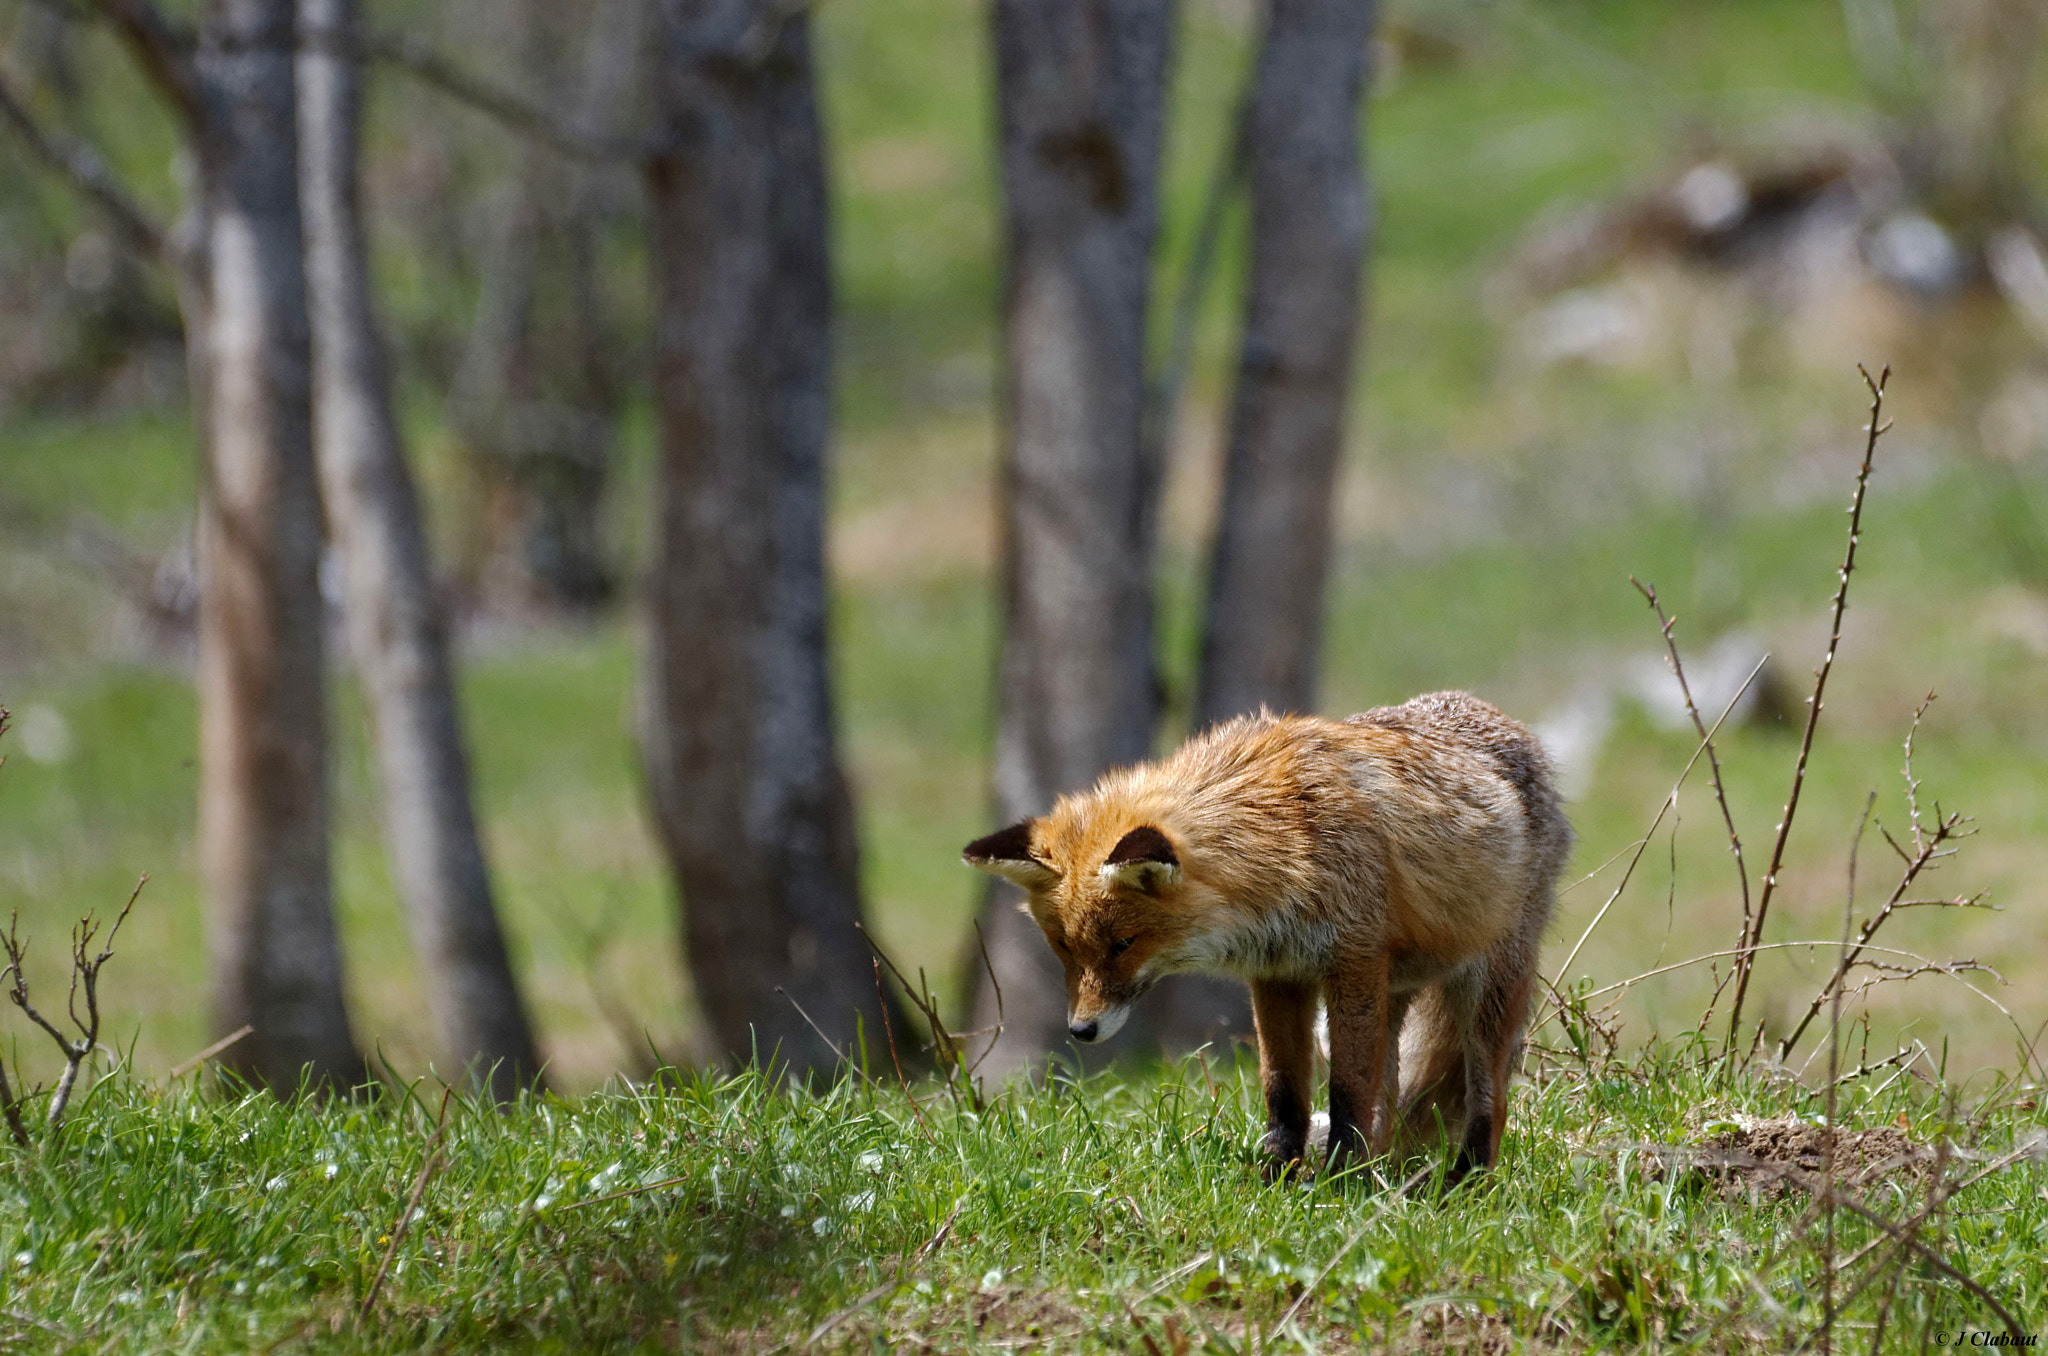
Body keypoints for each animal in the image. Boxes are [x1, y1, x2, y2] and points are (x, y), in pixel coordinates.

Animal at [966, 696, 1572, 1188]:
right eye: (1065, 948)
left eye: (1123, 944)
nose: (1081, 1031)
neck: (1281, 843)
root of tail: (1507, 722)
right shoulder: (1279, 974)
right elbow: (1284, 1093)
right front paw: (1277, 1176)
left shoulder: (1352, 964)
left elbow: (1347, 1090)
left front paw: (1335, 1185)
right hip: (1395, 994)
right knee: (1390, 1096)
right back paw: (1378, 1173)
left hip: (1485, 996)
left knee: (1488, 1100)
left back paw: (1463, 1183)